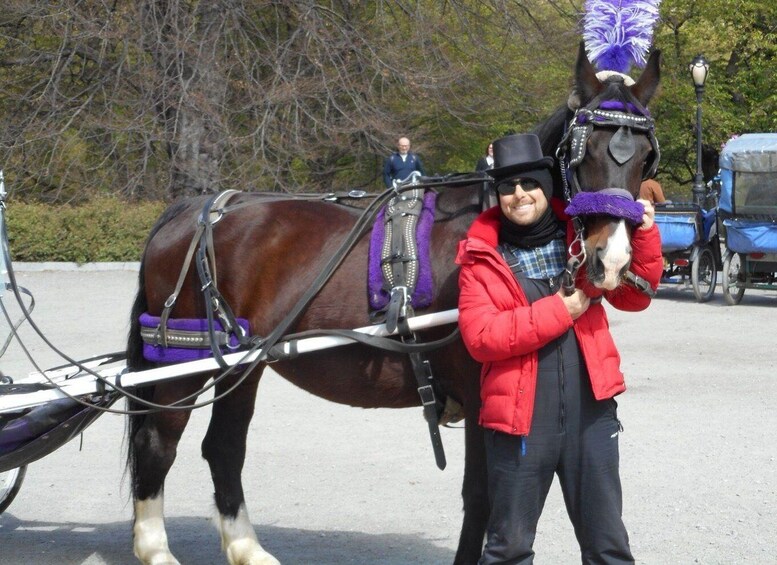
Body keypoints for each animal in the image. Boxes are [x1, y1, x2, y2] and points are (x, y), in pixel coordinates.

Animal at [124, 44, 656, 564]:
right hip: (182, 364)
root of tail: (197, 210)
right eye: (582, 153)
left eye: (646, 157)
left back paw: (247, 549)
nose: (611, 258)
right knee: (158, 444)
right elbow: (482, 495)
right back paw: (156, 550)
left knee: (224, 448)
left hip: (241, 363)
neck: (506, 229)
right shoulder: (480, 394)